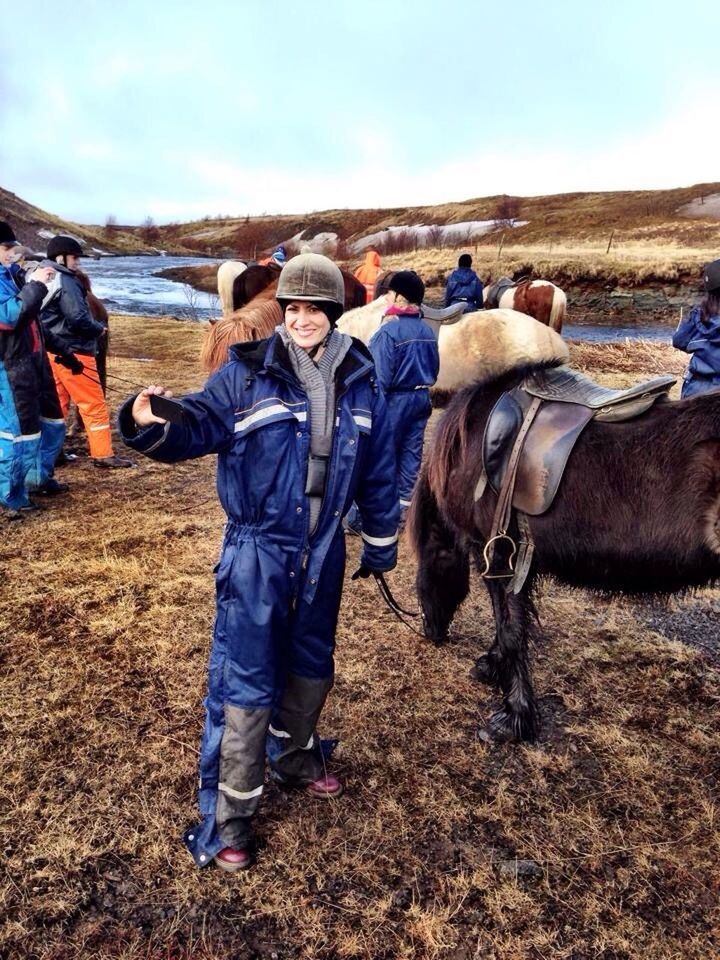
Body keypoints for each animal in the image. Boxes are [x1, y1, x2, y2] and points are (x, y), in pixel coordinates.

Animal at [408, 362, 720, 744]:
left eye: (425, 567)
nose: (430, 631)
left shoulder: (496, 555)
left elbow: (511, 629)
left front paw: (514, 718)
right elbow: (506, 622)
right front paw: (494, 667)